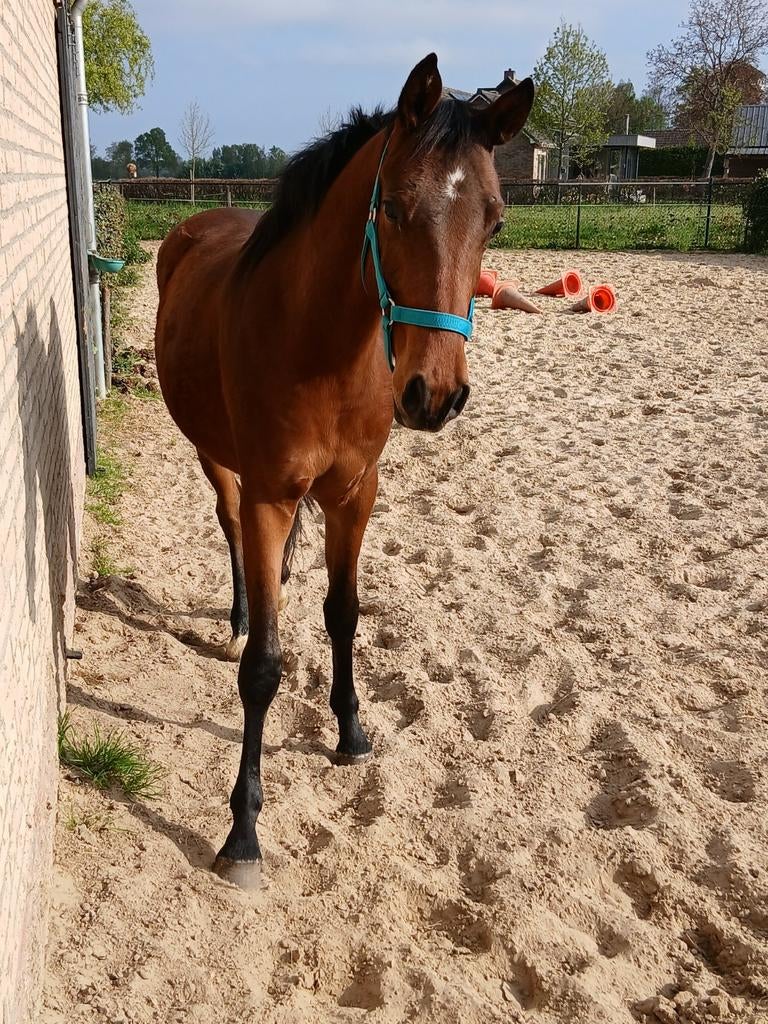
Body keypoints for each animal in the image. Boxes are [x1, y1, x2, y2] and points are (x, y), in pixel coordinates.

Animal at [155, 53, 534, 887]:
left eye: (494, 219)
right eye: (392, 207)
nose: (435, 394)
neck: (320, 344)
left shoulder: (355, 494)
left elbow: (344, 613)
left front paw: (351, 732)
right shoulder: (271, 496)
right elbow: (263, 667)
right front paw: (242, 832)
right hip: (214, 456)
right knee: (228, 525)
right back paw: (238, 613)